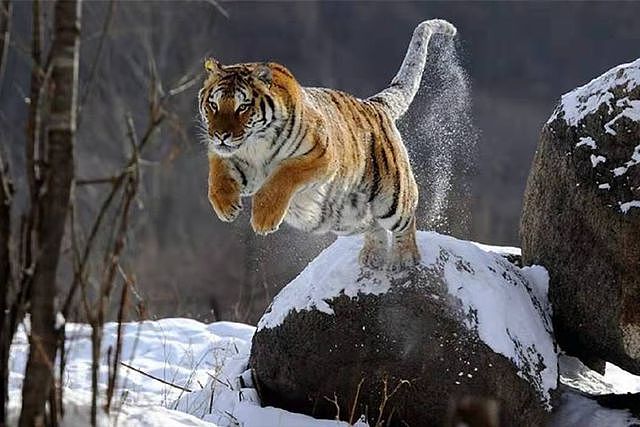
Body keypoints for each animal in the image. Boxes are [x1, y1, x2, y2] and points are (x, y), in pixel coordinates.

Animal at [198, 19, 457, 270]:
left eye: (242, 107)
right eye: (213, 104)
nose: (221, 135)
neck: (255, 147)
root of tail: (374, 104)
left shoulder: (321, 156)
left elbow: (282, 176)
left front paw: (263, 219)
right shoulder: (233, 159)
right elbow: (216, 174)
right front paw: (226, 206)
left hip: (392, 198)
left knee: (405, 221)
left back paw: (404, 258)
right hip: (346, 216)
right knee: (372, 224)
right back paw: (373, 255)